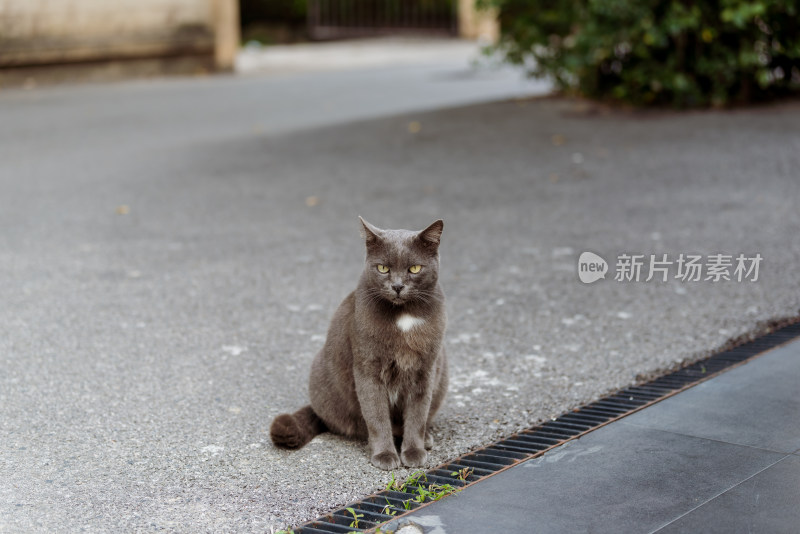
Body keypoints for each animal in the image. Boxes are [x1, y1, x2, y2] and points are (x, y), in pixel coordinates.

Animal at [270, 218, 446, 468]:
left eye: (414, 268)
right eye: (383, 268)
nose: (397, 286)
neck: (403, 317)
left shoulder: (425, 369)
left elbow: (418, 414)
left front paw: (413, 452)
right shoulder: (367, 368)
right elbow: (377, 415)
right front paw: (384, 455)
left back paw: (426, 439)